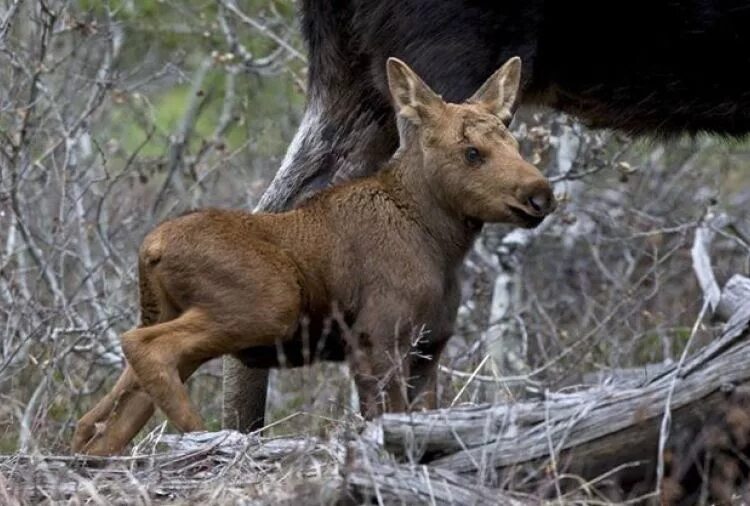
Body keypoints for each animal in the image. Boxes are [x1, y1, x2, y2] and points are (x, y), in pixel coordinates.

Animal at [73, 57, 560, 456]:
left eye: (516, 143)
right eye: (472, 152)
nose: (541, 194)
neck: (441, 245)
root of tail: (150, 248)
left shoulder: (429, 347)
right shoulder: (376, 338)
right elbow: (386, 419)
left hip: (171, 312)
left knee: (102, 417)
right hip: (269, 303)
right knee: (142, 347)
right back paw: (206, 436)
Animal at [226, 0, 750, 434]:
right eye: (474, 153)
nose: (541, 197)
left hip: (351, 73)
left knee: (283, 204)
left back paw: (242, 433)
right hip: (443, 48)